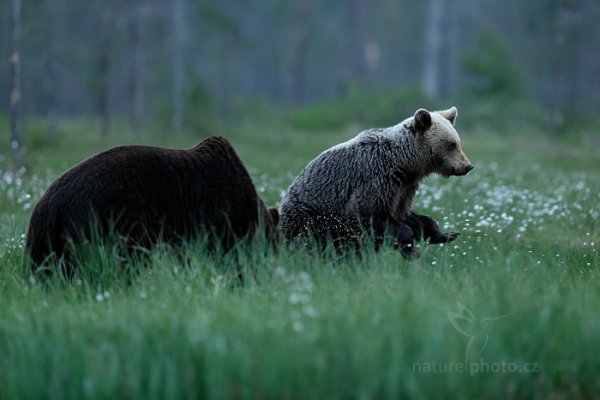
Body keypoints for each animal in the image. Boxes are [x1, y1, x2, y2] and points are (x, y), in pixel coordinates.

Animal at [280, 107, 474, 256]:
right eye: (451, 144)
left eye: (458, 142)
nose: (467, 166)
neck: (404, 163)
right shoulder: (376, 179)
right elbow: (368, 212)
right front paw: (410, 244)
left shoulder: (402, 188)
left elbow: (405, 213)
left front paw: (444, 234)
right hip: (312, 217)